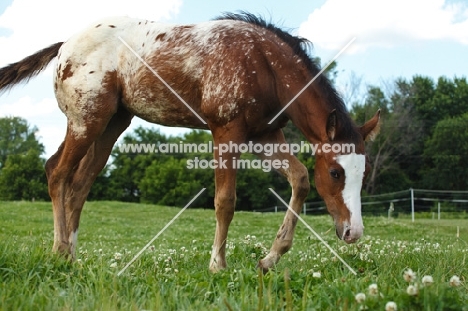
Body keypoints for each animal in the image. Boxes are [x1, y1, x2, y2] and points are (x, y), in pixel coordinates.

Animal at [0, 12, 380, 272]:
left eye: (363, 173)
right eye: (336, 173)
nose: (353, 232)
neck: (263, 64)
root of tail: (64, 45)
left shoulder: (264, 135)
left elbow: (299, 178)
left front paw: (269, 259)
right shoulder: (226, 131)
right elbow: (225, 200)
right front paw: (217, 265)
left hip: (112, 124)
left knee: (79, 185)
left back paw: (74, 257)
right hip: (86, 121)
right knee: (57, 173)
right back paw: (60, 253)